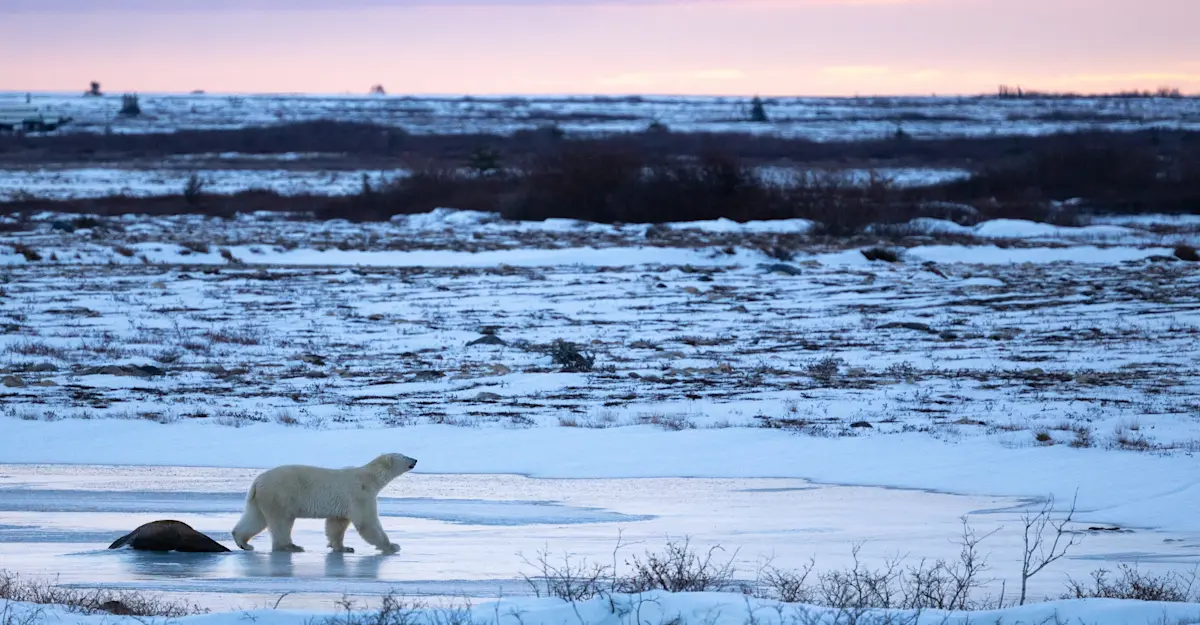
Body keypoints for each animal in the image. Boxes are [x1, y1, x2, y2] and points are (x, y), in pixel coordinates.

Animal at [231, 453, 417, 554]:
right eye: (403, 456)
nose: (415, 460)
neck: (369, 478)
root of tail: (257, 481)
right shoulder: (360, 495)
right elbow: (367, 523)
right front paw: (392, 546)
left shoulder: (343, 504)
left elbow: (336, 525)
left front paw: (343, 548)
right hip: (280, 495)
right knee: (281, 521)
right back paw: (291, 546)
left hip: (261, 499)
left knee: (256, 518)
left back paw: (244, 543)